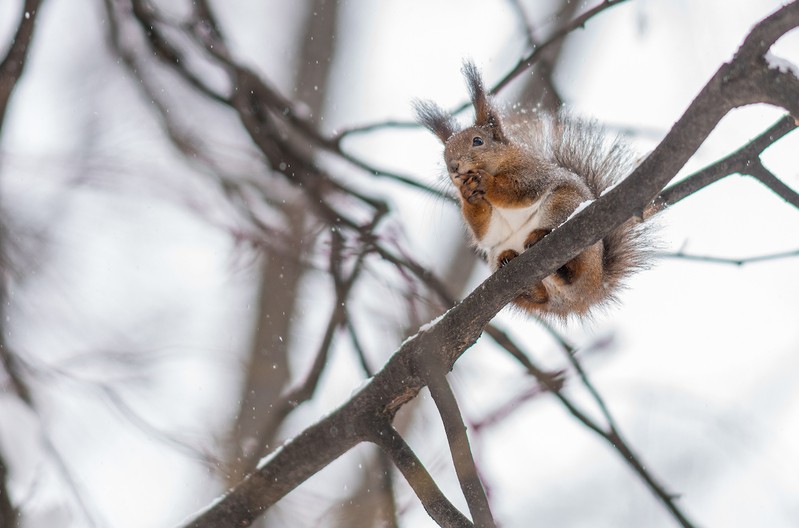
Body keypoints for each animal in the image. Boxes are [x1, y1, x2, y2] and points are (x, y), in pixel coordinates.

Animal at [416, 62, 652, 318]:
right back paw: (516, 267)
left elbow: (520, 190)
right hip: (500, 256)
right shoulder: (489, 228)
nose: (453, 167)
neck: (501, 163)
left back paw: (545, 245)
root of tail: (590, 293)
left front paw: (486, 183)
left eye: (477, 141)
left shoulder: (532, 172)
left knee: (571, 268)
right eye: (445, 154)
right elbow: (484, 232)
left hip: (564, 206)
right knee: (540, 296)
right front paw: (469, 196)